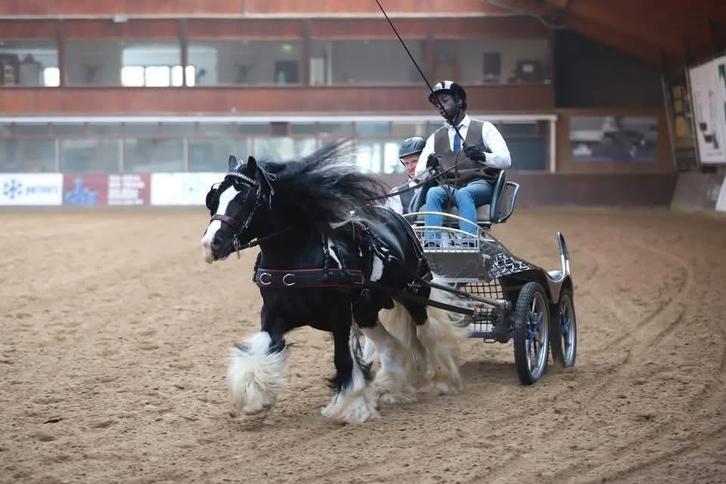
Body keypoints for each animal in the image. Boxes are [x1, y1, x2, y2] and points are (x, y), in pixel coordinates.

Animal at [200, 142, 462, 423]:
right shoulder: (274, 315)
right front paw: (255, 397)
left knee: (427, 332)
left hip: (413, 293)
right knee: (392, 345)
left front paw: (350, 406)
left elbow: (343, 359)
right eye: (214, 198)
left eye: (244, 198)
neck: (297, 258)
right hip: (366, 312)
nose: (210, 244)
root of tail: (398, 220)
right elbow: (264, 350)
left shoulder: (340, 319)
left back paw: (443, 379)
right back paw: (390, 388)